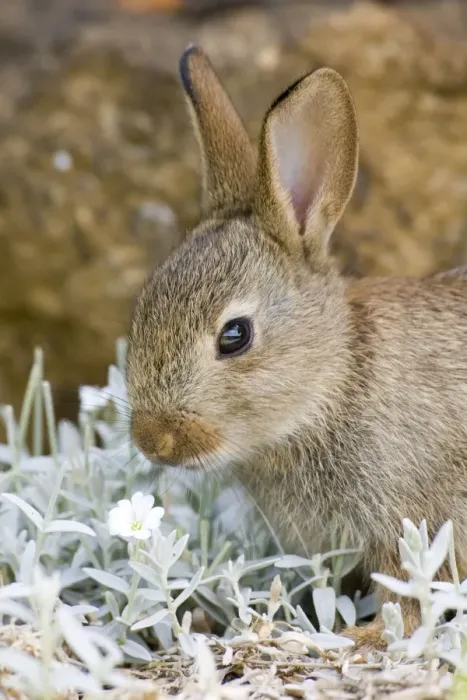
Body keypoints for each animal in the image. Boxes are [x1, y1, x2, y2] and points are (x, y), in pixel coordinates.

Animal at [126, 44, 467, 651]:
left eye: (234, 336)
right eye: (143, 308)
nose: (153, 440)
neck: (333, 382)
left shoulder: (412, 521)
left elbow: (407, 602)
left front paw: (358, 636)